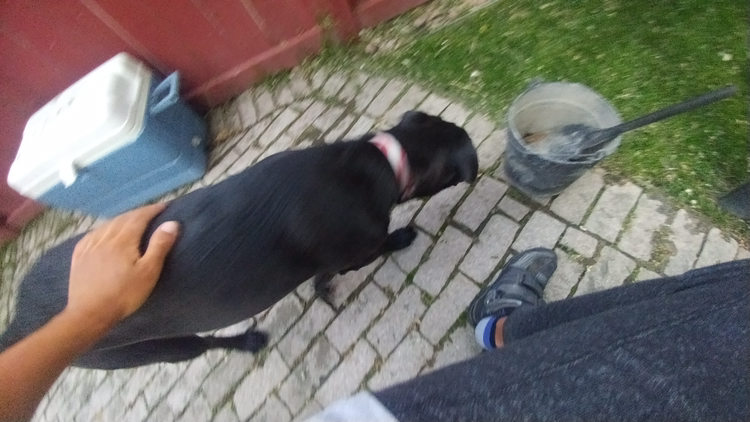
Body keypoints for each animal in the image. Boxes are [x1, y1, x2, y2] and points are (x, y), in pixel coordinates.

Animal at [0, 111, 477, 369]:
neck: (384, 162)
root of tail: (17, 321)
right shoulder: (357, 247)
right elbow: (366, 254)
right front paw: (402, 236)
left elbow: (321, 281)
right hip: (153, 349)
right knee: (207, 344)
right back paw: (248, 342)